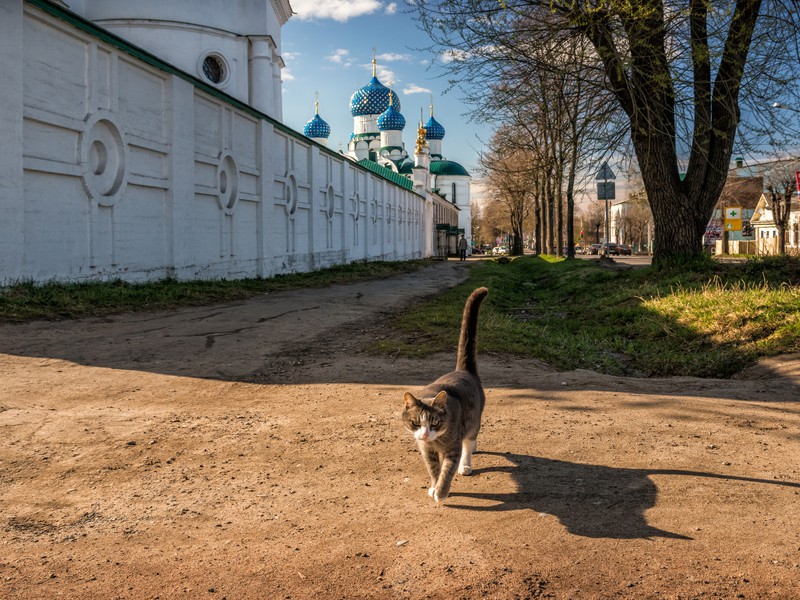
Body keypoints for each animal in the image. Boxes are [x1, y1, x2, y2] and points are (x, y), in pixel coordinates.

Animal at [400, 288, 488, 504]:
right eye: (416, 423)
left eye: (435, 422)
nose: (424, 434)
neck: (435, 442)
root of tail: (463, 371)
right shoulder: (426, 450)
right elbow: (434, 469)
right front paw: (433, 486)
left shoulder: (452, 447)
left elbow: (447, 470)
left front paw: (441, 492)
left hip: (473, 420)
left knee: (469, 441)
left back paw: (466, 464)